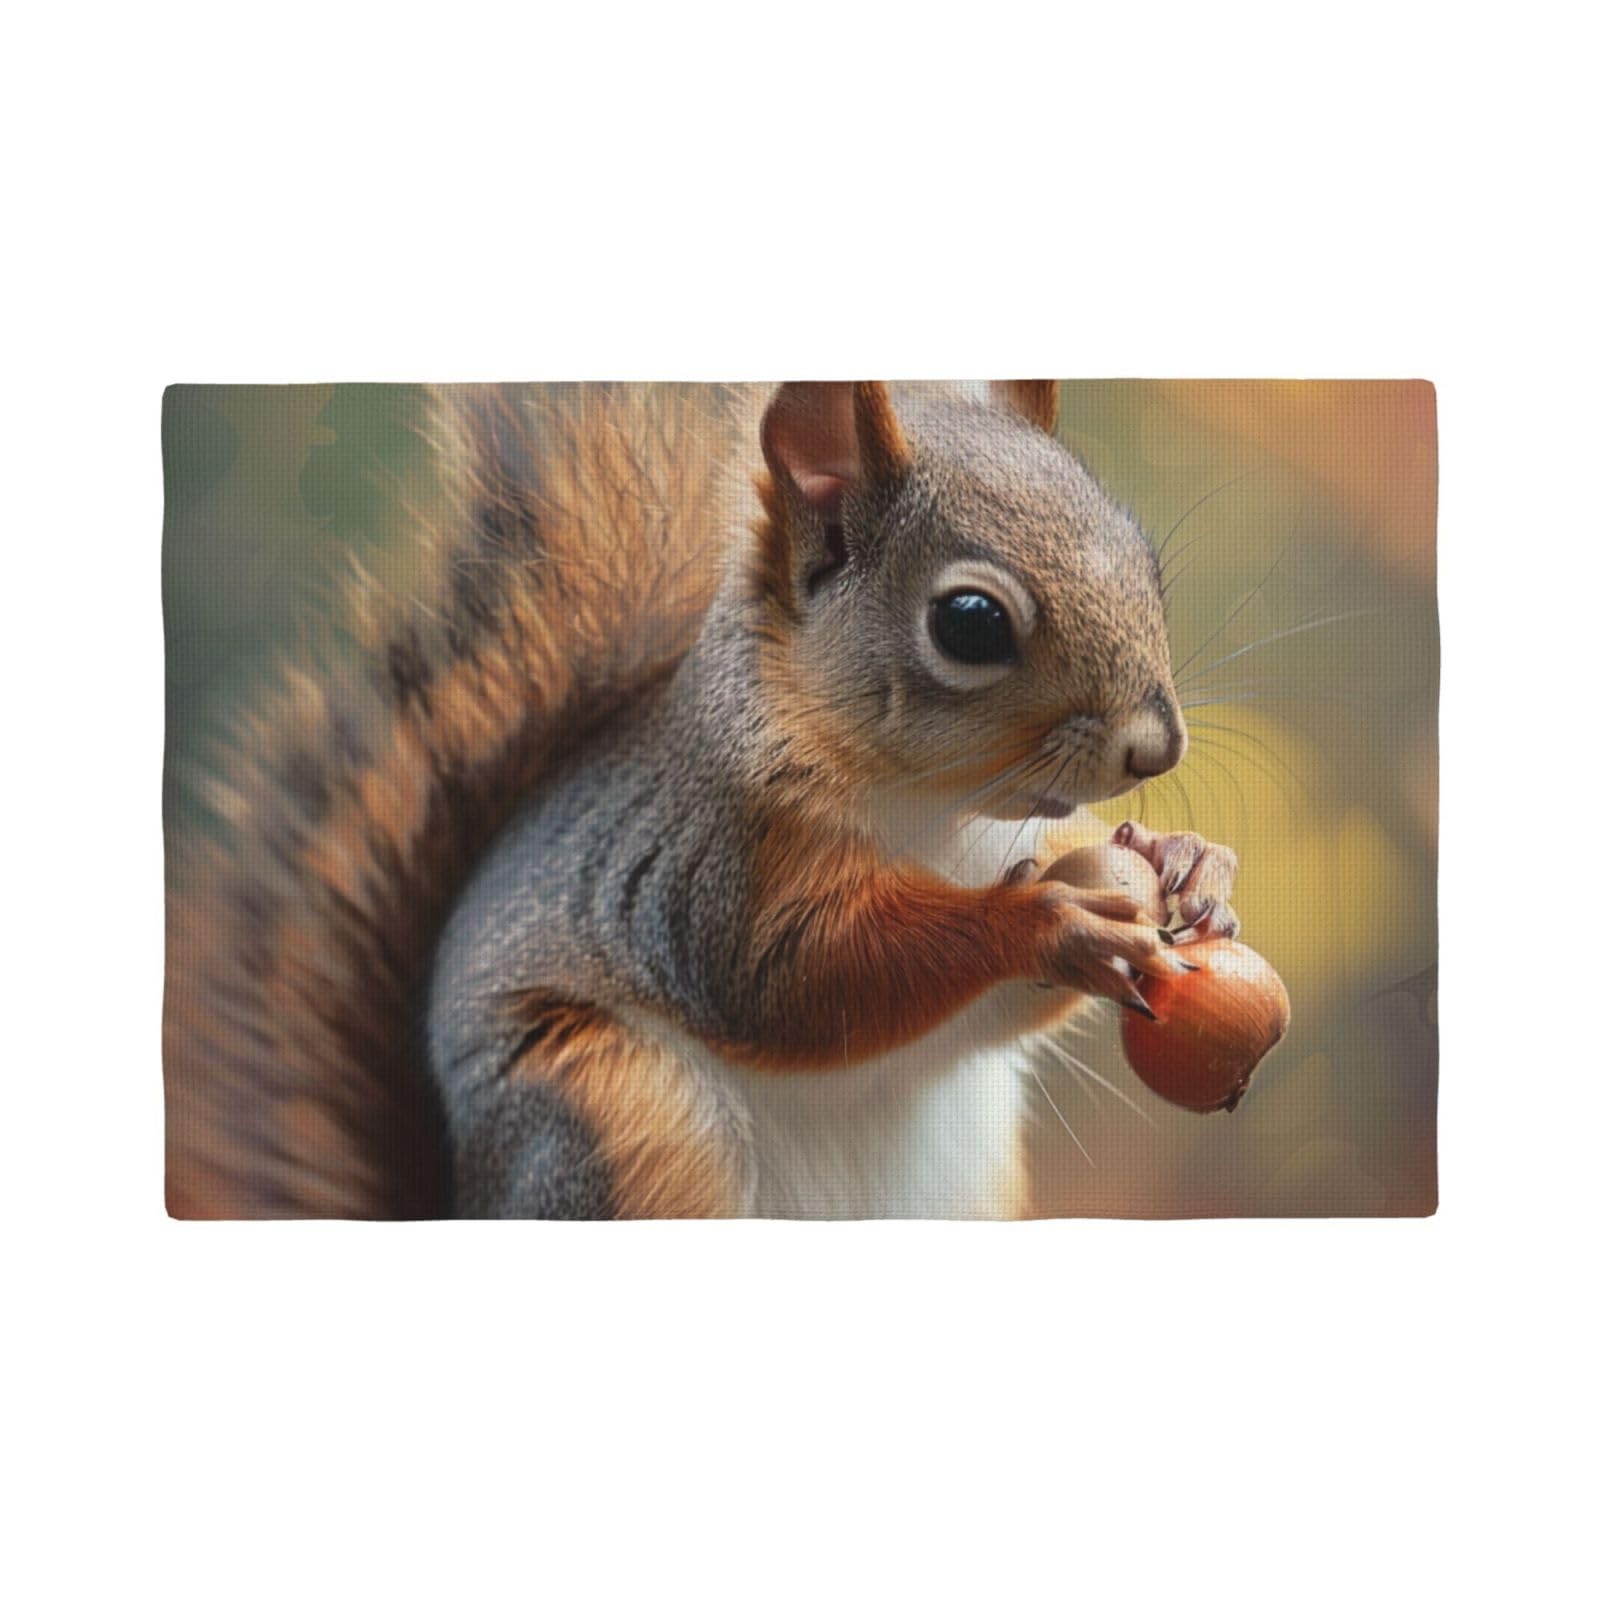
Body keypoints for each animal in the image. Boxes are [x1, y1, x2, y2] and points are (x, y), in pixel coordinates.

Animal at [165, 380, 1241, 1219]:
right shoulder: (706, 871)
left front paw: (1190, 863)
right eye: (969, 622)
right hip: (610, 1113)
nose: (1157, 746)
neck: (945, 813)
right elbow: (793, 978)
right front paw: (1042, 920)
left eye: (1143, 556)